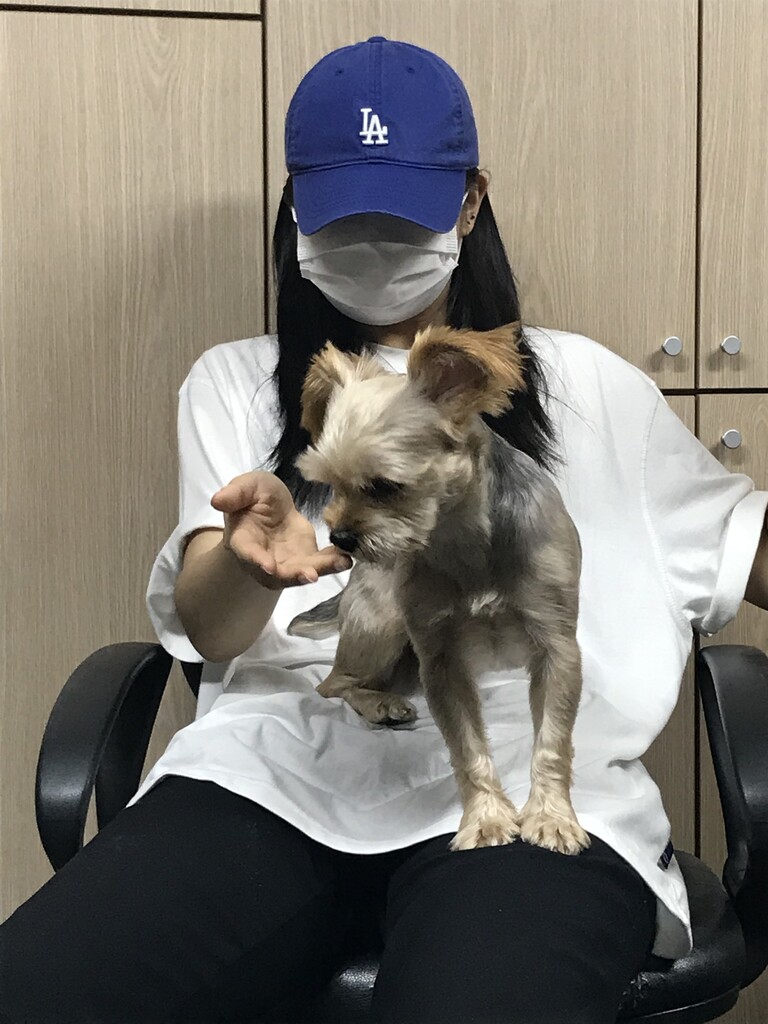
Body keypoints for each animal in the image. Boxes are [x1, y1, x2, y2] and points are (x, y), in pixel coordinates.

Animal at [287, 323, 589, 855]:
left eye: (384, 486)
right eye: (331, 485)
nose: (340, 537)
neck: (461, 537)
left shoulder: (557, 648)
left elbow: (552, 742)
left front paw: (551, 817)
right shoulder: (441, 660)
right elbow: (467, 749)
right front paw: (487, 819)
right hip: (381, 626)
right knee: (334, 684)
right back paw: (379, 702)